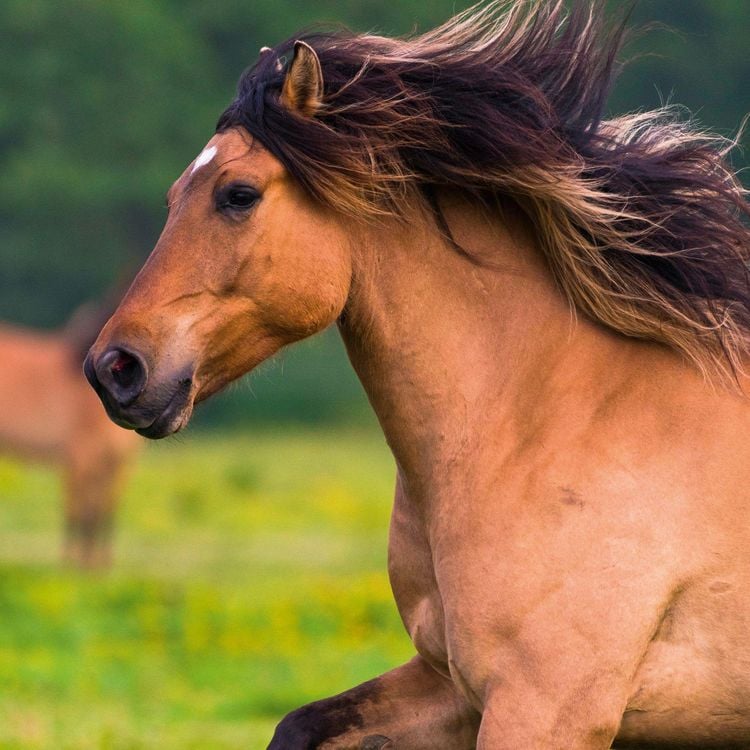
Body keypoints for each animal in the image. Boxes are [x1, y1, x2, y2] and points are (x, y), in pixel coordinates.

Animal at [0, 304, 140, 568]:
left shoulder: (118, 461)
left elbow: (105, 508)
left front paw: (100, 564)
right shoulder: (80, 454)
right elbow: (79, 508)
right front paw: (74, 564)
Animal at [84, 0, 750, 746]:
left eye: (238, 194)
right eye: (175, 194)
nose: (114, 369)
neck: (543, 425)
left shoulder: (543, 707)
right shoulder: (449, 684)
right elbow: (299, 724)